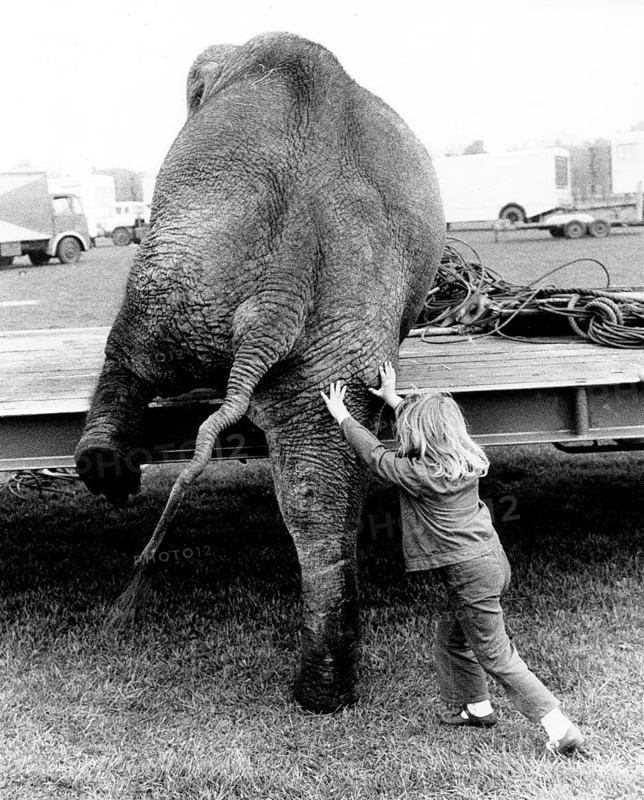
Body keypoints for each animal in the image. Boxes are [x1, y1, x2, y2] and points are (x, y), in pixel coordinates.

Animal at [75, 32, 445, 712]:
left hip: (176, 269)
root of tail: (283, 279)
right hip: (335, 331)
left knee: (130, 354)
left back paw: (106, 472)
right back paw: (323, 690)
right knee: (319, 483)